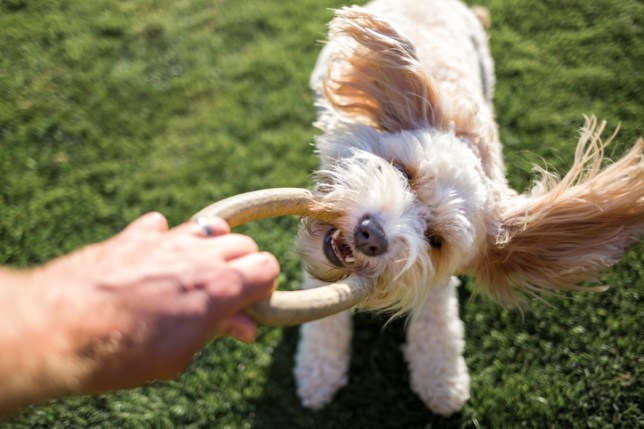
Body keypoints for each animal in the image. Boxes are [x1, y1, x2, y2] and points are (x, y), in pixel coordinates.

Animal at [294, 0, 644, 414]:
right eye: (403, 172)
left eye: (435, 240)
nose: (371, 235)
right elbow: (322, 316)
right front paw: (318, 371)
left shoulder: (438, 279)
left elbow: (438, 324)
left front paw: (443, 380)